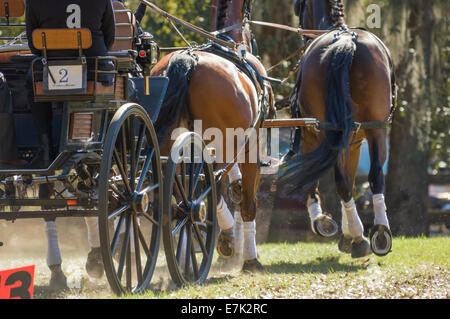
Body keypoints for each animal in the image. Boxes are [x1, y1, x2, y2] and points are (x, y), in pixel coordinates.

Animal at [150, 0, 274, 272]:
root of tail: (188, 60)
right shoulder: (251, 144)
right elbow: (248, 204)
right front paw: (250, 258)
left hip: (166, 148)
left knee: (174, 193)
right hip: (222, 144)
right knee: (211, 188)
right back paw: (223, 237)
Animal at [284, 0, 396, 258]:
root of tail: (347, 41)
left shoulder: (317, 136)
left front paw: (329, 225)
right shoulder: (352, 140)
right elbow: (352, 180)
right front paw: (349, 233)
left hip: (334, 132)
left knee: (346, 182)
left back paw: (360, 236)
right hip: (375, 129)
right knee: (374, 175)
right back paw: (379, 233)